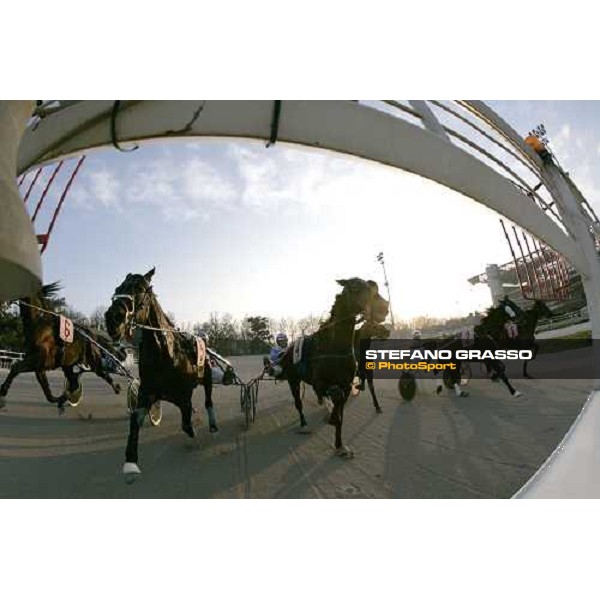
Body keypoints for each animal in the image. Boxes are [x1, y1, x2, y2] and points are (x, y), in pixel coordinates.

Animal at [104, 268, 219, 482]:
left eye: (139, 289)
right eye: (117, 289)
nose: (113, 319)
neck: (166, 354)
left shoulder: (184, 396)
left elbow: (187, 425)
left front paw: (194, 439)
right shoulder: (146, 393)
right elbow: (134, 422)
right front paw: (130, 463)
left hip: (207, 377)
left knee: (208, 400)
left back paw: (213, 425)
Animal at [278, 278, 390, 458]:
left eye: (374, 288)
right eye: (355, 287)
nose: (384, 307)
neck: (334, 347)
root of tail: (288, 350)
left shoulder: (346, 384)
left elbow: (341, 412)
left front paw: (340, 445)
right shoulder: (320, 382)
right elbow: (334, 397)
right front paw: (331, 416)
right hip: (293, 380)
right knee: (298, 403)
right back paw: (304, 423)